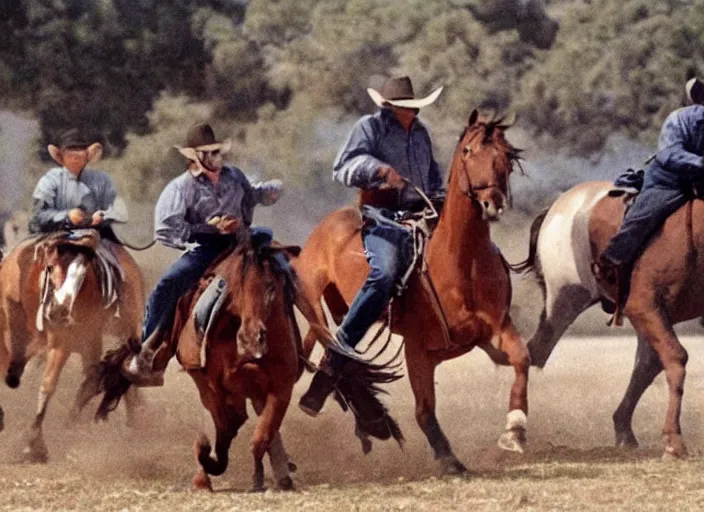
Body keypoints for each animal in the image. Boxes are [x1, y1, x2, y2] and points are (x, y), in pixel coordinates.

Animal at [0, 230, 144, 462]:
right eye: (50, 267)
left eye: (83, 274)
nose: (60, 311)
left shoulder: (63, 343)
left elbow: (48, 385)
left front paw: (33, 444)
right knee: (96, 378)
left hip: (117, 335)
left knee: (109, 379)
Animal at [97, 232, 306, 492]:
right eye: (232, 287)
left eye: (271, 286)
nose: (251, 340)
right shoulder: (207, 379)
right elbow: (227, 424)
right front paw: (207, 459)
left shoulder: (281, 386)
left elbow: (260, 436)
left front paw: (259, 478)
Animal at [294, 110, 532, 474]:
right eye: (469, 152)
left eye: (506, 155)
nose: (492, 203)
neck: (460, 262)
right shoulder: (418, 349)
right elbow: (423, 409)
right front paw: (448, 458)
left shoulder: (495, 328)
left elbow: (522, 357)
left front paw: (515, 430)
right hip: (318, 300)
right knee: (338, 343)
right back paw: (316, 399)